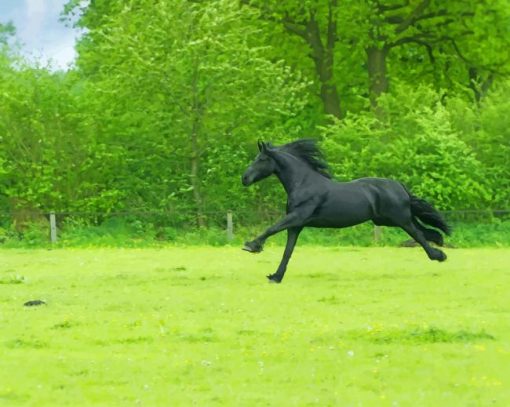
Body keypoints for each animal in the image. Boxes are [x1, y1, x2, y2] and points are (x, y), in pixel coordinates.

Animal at [242, 139, 450, 284]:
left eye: (261, 159)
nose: (244, 178)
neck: (303, 183)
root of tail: (399, 186)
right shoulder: (297, 225)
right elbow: (288, 251)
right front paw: (276, 276)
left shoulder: (297, 217)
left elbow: (272, 228)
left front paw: (251, 246)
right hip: (386, 220)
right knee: (424, 230)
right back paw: (439, 242)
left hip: (399, 218)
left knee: (418, 234)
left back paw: (438, 256)